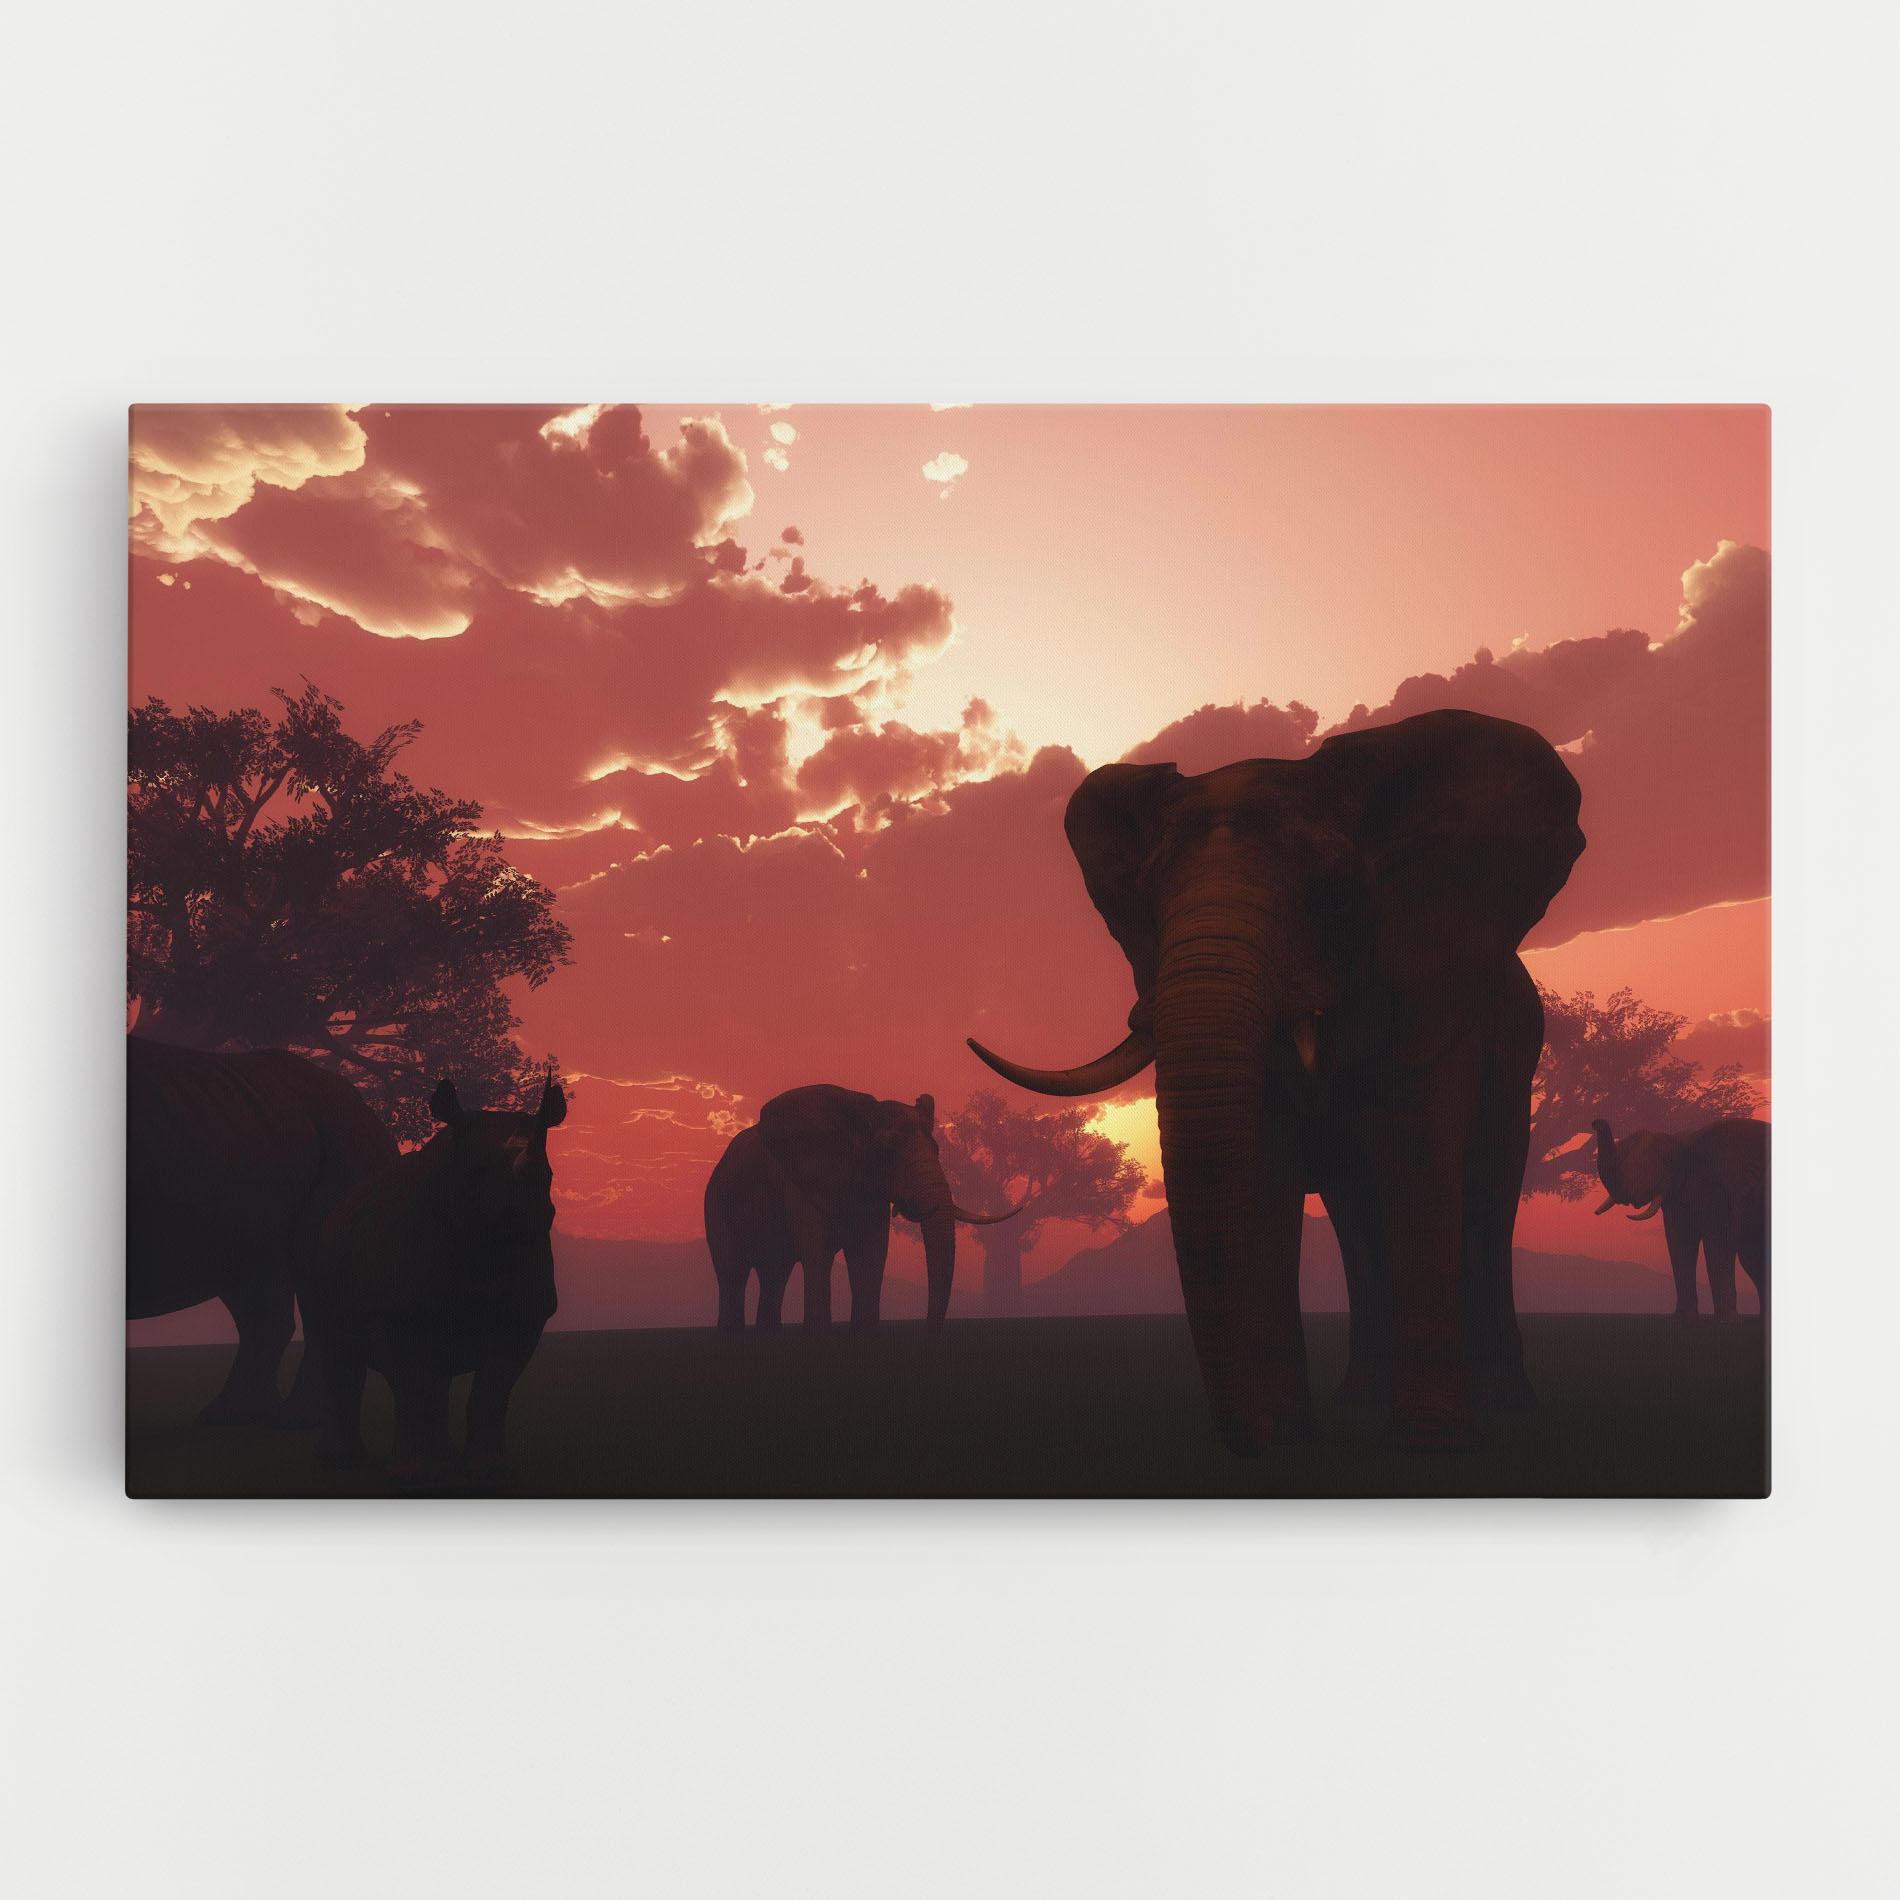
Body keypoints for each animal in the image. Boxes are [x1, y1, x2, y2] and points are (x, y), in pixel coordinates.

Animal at [308, 1077, 565, 1478]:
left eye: (548, 1177)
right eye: (475, 1174)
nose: (525, 1215)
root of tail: (346, 1203)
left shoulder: (526, 1314)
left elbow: (493, 1389)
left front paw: (490, 1469)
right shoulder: (395, 1313)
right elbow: (412, 1385)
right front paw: (413, 1474)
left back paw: (443, 1454)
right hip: (324, 1251)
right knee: (340, 1352)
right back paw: (340, 1462)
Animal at [703, 1085, 1024, 1331]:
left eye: (937, 1150)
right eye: (887, 1152)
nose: (927, 1331)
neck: (861, 1116)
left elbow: (870, 1255)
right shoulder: (802, 1182)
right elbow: (818, 1254)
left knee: (774, 1275)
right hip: (716, 1206)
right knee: (733, 1274)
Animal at [968, 708, 1584, 1454]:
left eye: (1330, 889)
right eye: (1148, 899)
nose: (1252, 1436)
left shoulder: (1436, 999)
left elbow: (1418, 1160)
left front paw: (1431, 1438)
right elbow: (1259, 1164)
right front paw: (1286, 1433)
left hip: (1519, 1061)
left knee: (1488, 1200)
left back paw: (1512, 1411)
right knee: (1357, 1219)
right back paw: (1358, 1402)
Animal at [1592, 1118, 1769, 1319]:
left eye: (1645, 1168)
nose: (1596, 1122)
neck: (1680, 1142)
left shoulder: (1724, 1187)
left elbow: (1717, 1241)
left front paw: (1726, 1319)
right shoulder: (1677, 1193)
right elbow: (1680, 1240)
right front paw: (1684, 1316)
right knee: (1751, 1258)